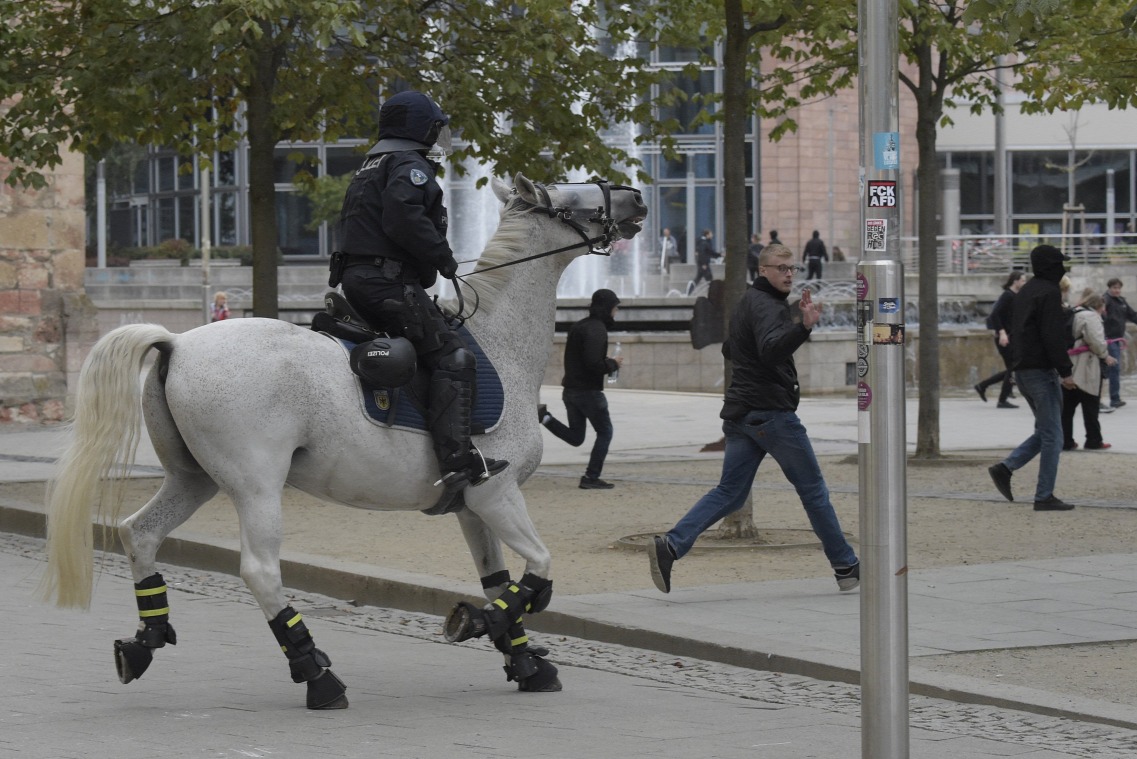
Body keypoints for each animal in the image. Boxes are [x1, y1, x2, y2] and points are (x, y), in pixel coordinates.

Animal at [42, 174, 650, 709]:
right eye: (572, 194)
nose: (636, 197)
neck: (500, 344)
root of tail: (177, 342)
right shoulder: (496, 493)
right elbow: (539, 573)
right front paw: (482, 624)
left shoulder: (473, 505)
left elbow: (500, 580)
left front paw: (523, 661)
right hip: (256, 488)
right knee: (260, 571)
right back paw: (316, 674)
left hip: (193, 480)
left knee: (140, 534)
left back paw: (145, 642)